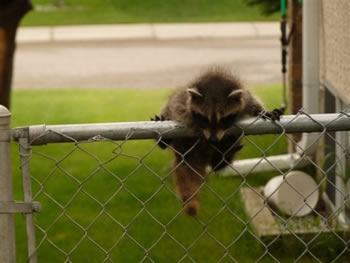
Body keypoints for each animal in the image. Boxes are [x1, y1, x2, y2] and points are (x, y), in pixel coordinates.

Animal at [151, 68, 282, 217]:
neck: (215, 81)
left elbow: (255, 103)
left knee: (218, 164)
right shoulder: (182, 99)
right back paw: (164, 140)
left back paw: (224, 155)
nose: (213, 140)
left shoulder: (245, 96)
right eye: (204, 118)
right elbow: (174, 106)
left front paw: (264, 111)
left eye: (223, 119)